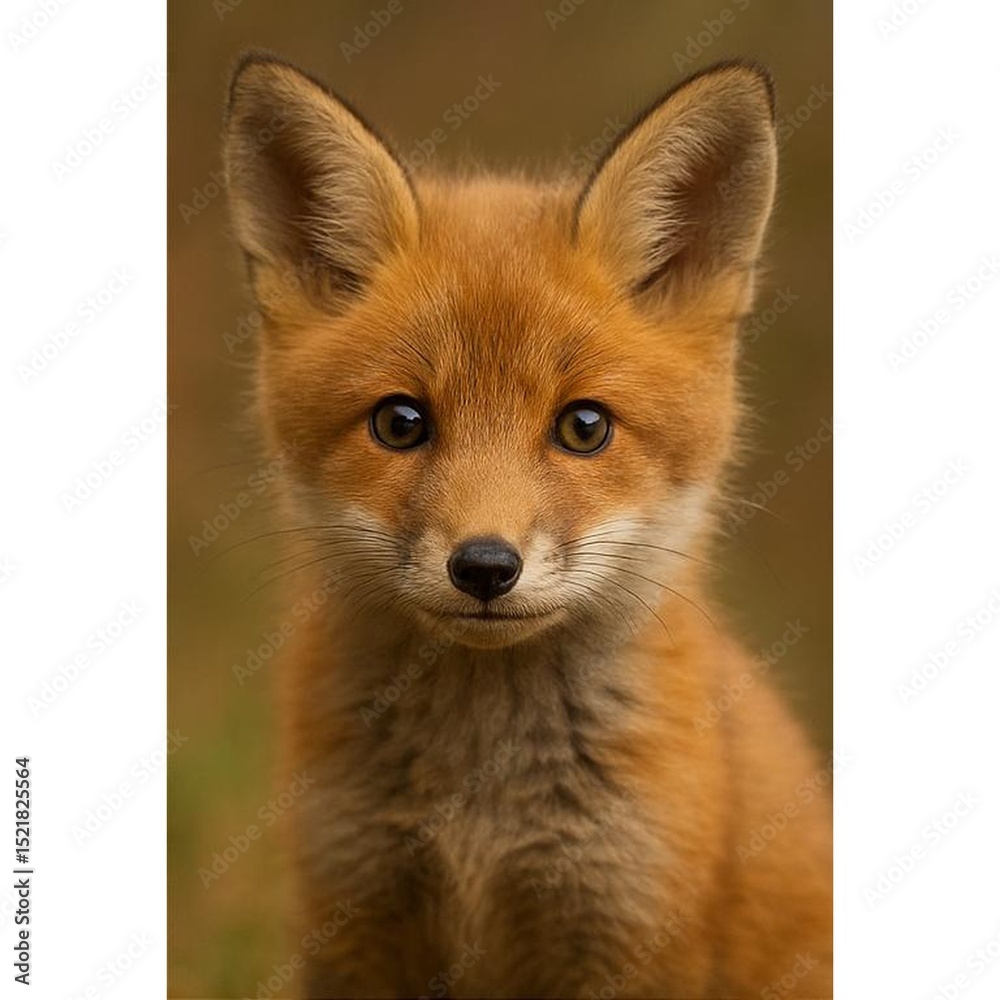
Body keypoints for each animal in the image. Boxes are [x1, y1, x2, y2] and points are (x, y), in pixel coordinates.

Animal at [223, 52, 832, 999]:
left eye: (583, 427)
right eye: (400, 421)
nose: (483, 566)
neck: (482, 811)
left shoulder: (628, 929)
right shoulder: (354, 910)